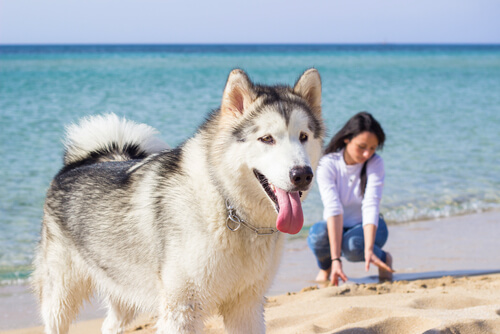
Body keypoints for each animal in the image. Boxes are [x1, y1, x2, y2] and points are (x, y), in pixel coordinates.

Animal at [33, 69, 326, 332]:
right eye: (267, 139)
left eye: (303, 137)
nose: (302, 175)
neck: (228, 207)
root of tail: (76, 165)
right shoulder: (182, 308)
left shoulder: (246, 306)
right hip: (62, 296)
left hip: (123, 290)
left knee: (109, 325)